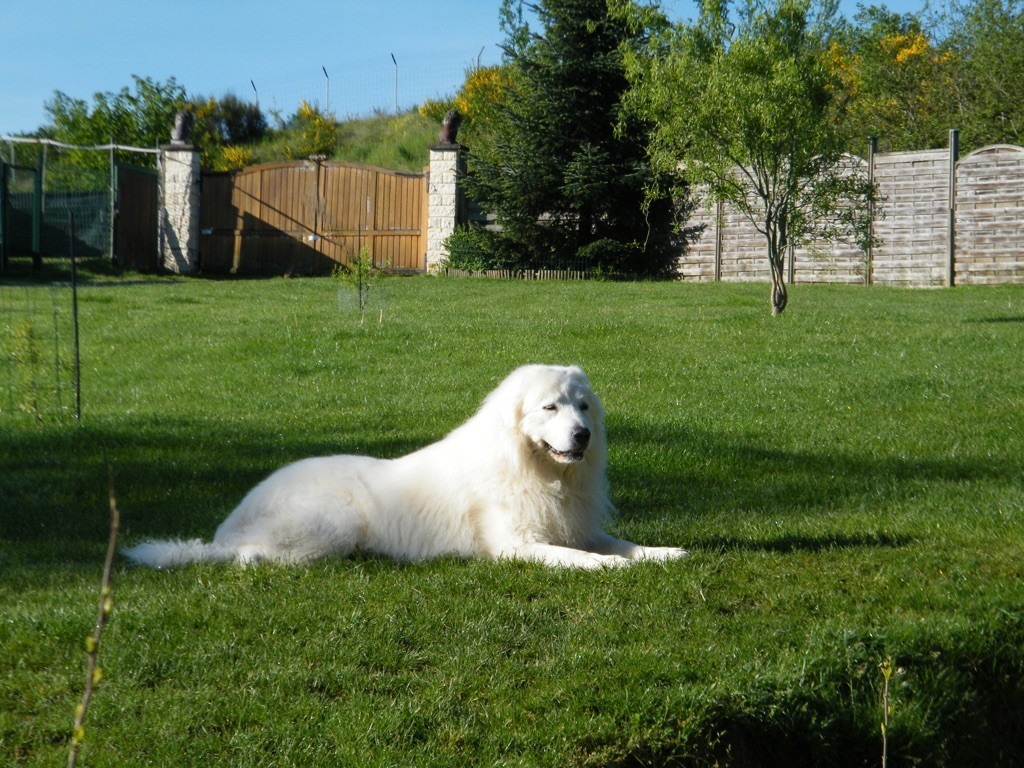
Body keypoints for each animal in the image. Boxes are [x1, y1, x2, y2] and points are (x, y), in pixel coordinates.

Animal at [125, 366, 688, 573]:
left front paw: (664, 553)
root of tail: (231, 524)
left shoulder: (579, 526)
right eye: (550, 408)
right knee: (249, 558)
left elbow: (623, 543)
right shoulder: (518, 546)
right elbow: (582, 559)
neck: (537, 471)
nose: (583, 436)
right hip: (331, 527)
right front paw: (616, 568)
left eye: (583, 407)